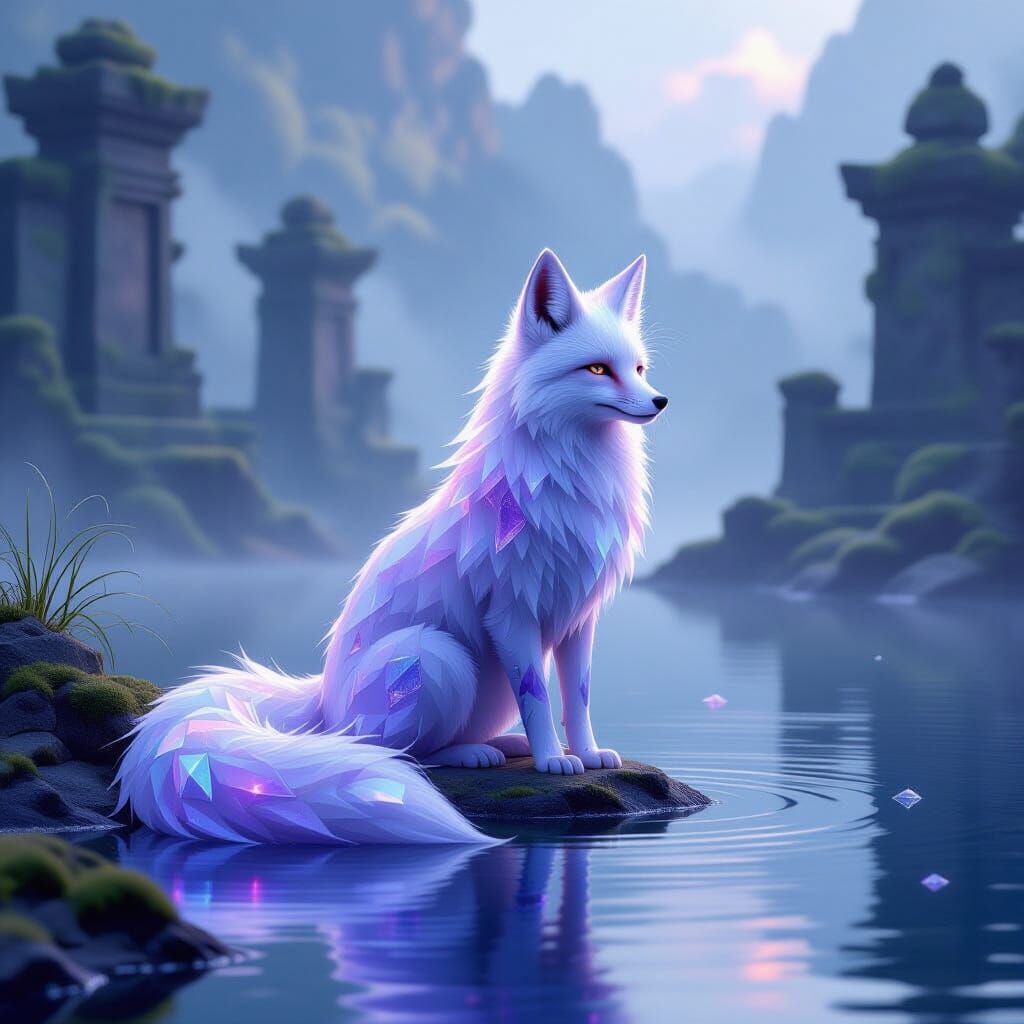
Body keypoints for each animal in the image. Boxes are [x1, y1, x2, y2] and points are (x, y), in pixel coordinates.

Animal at [115, 248, 668, 845]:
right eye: (597, 369)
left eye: (638, 368)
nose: (659, 401)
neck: (571, 483)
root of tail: (322, 702)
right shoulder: (511, 613)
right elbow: (539, 698)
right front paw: (552, 762)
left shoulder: (577, 615)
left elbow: (577, 697)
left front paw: (587, 754)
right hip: (436, 657)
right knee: (400, 752)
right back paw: (472, 754)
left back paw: (502, 744)